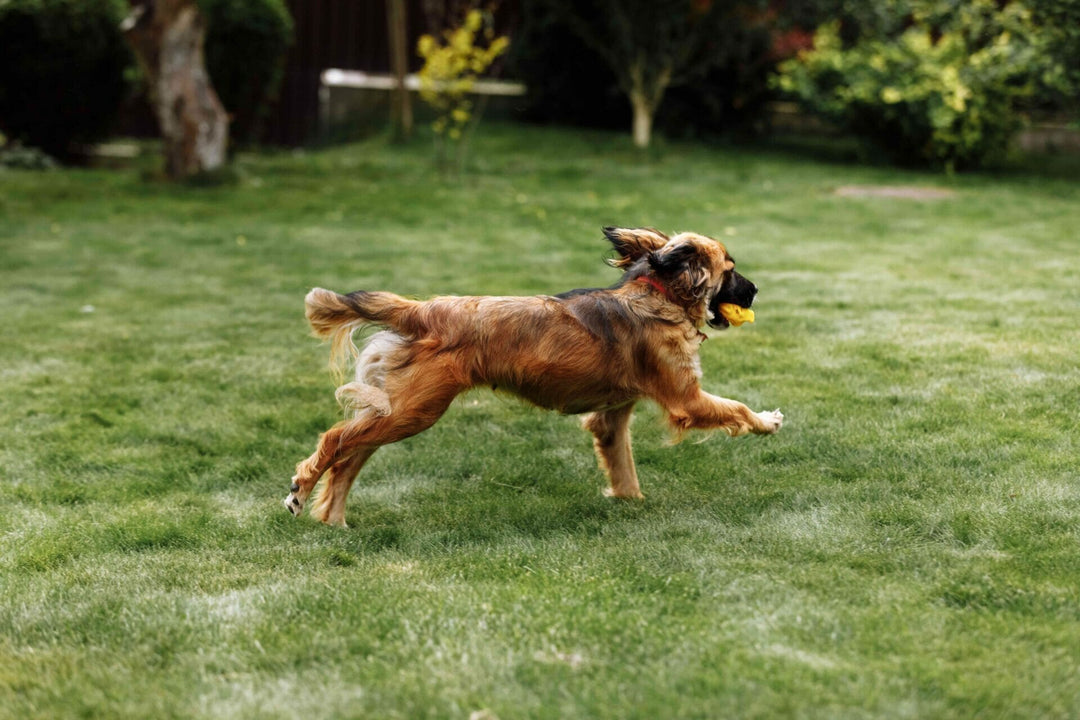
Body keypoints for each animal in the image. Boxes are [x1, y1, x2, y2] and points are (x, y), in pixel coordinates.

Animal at [282, 227, 781, 526]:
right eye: (731, 271)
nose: (757, 290)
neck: (657, 293)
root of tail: (424, 309)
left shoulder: (612, 415)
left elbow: (623, 466)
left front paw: (629, 502)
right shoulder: (686, 397)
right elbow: (735, 408)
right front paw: (767, 421)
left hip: (395, 406)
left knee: (348, 457)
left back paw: (333, 518)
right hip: (413, 410)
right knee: (334, 440)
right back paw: (301, 490)